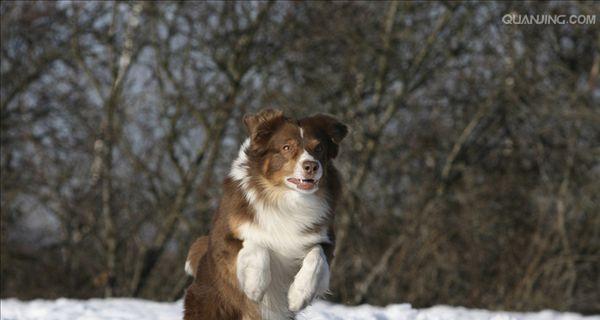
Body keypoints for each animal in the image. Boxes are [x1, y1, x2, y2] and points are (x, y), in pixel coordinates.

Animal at [183, 110, 346, 320]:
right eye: (286, 147)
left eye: (319, 148)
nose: (311, 166)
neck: (286, 199)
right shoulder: (224, 236)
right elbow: (257, 244)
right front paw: (255, 287)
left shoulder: (325, 238)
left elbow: (317, 255)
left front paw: (298, 295)